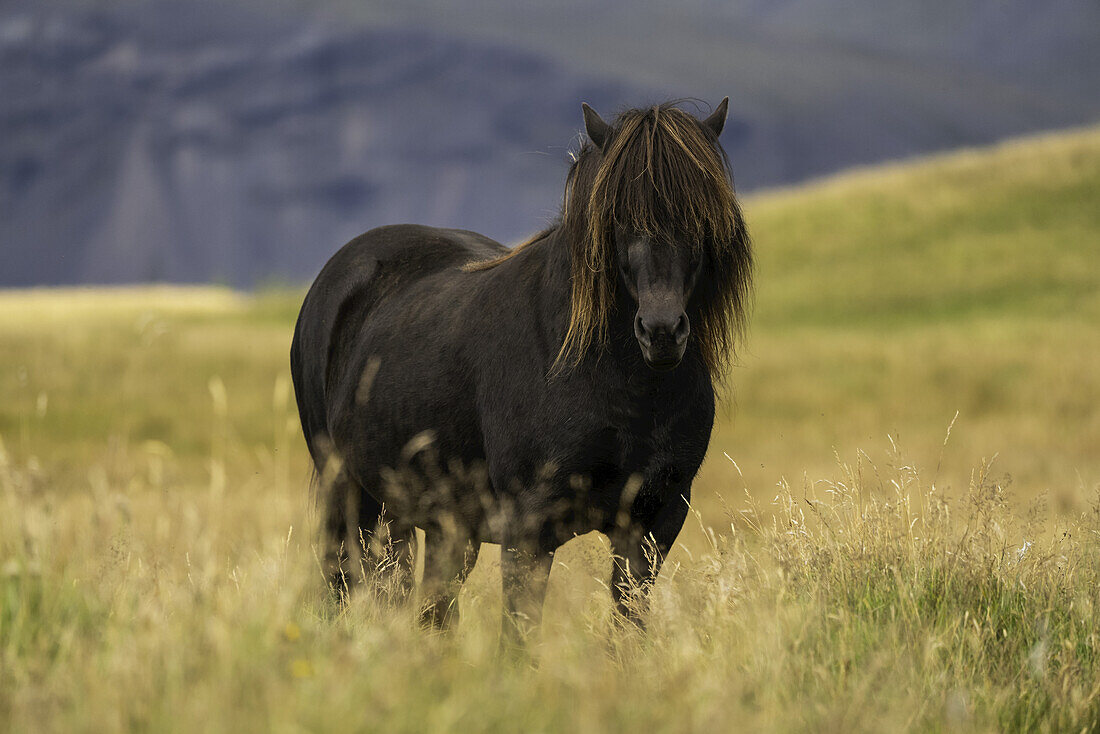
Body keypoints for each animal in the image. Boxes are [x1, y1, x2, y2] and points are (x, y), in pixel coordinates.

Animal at [292, 99, 752, 642]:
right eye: (616, 218)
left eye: (701, 216)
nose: (661, 331)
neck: (622, 392)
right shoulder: (529, 531)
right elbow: (518, 636)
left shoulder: (652, 525)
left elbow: (627, 631)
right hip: (352, 498)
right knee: (344, 587)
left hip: (441, 524)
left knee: (430, 607)